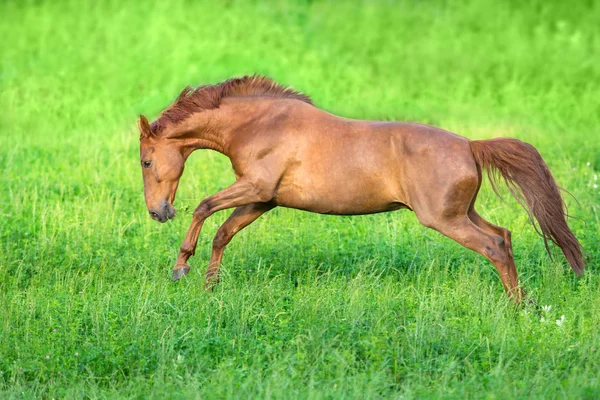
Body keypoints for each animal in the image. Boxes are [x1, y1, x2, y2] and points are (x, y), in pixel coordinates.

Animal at [138, 75, 584, 302]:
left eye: (146, 161)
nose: (158, 212)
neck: (258, 124)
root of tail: (470, 146)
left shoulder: (253, 188)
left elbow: (203, 206)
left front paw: (181, 267)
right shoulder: (264, 200)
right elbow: (223, 233)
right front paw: (209, 288)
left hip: (444, 219)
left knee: (493, 246)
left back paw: (517, 308)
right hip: (462, 212)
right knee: (503, 236)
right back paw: (524, 300)